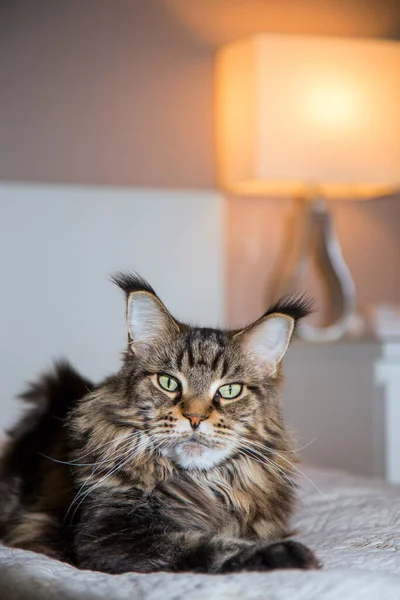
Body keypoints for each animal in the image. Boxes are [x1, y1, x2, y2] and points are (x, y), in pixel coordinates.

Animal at [0, 272, 318, 572]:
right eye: (168, 383)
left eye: (229, 391)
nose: (195, 417)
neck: (201, 484)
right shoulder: (110, 534)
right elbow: (203, 547)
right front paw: (283, 555)